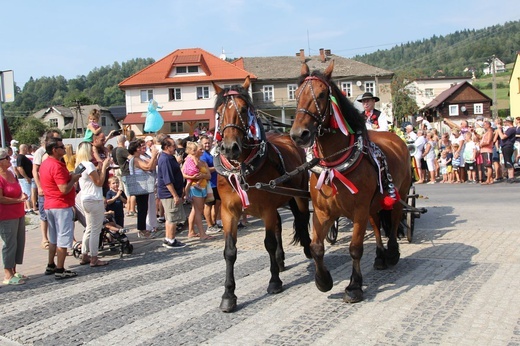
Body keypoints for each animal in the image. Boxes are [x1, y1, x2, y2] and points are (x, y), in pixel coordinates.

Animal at [212, 77, 310, 312]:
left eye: (244, 109)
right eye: (219, 111)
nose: (230, 148)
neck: (241, 169)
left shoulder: (267, 209)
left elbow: (269, 243)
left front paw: (274, 282)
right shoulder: (229, 211)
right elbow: (230, 251)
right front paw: (228, 295)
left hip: (299, 195)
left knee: (303, 218)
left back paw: (309, 248)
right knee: (279, 226)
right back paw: (281, 261)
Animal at [288, 62, 410, 302]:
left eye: (322, 94)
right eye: (296, 95)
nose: (299, 135)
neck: (334, 166)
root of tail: (396, 139)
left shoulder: (359, 210)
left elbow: (355, 248)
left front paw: (354, 286)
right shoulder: (322, 212)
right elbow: (316, 247)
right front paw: (323, 280)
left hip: (399, 194)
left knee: (393, 222)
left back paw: (392, 253)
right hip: (373, 205)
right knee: (377, 224)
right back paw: (380, 256)